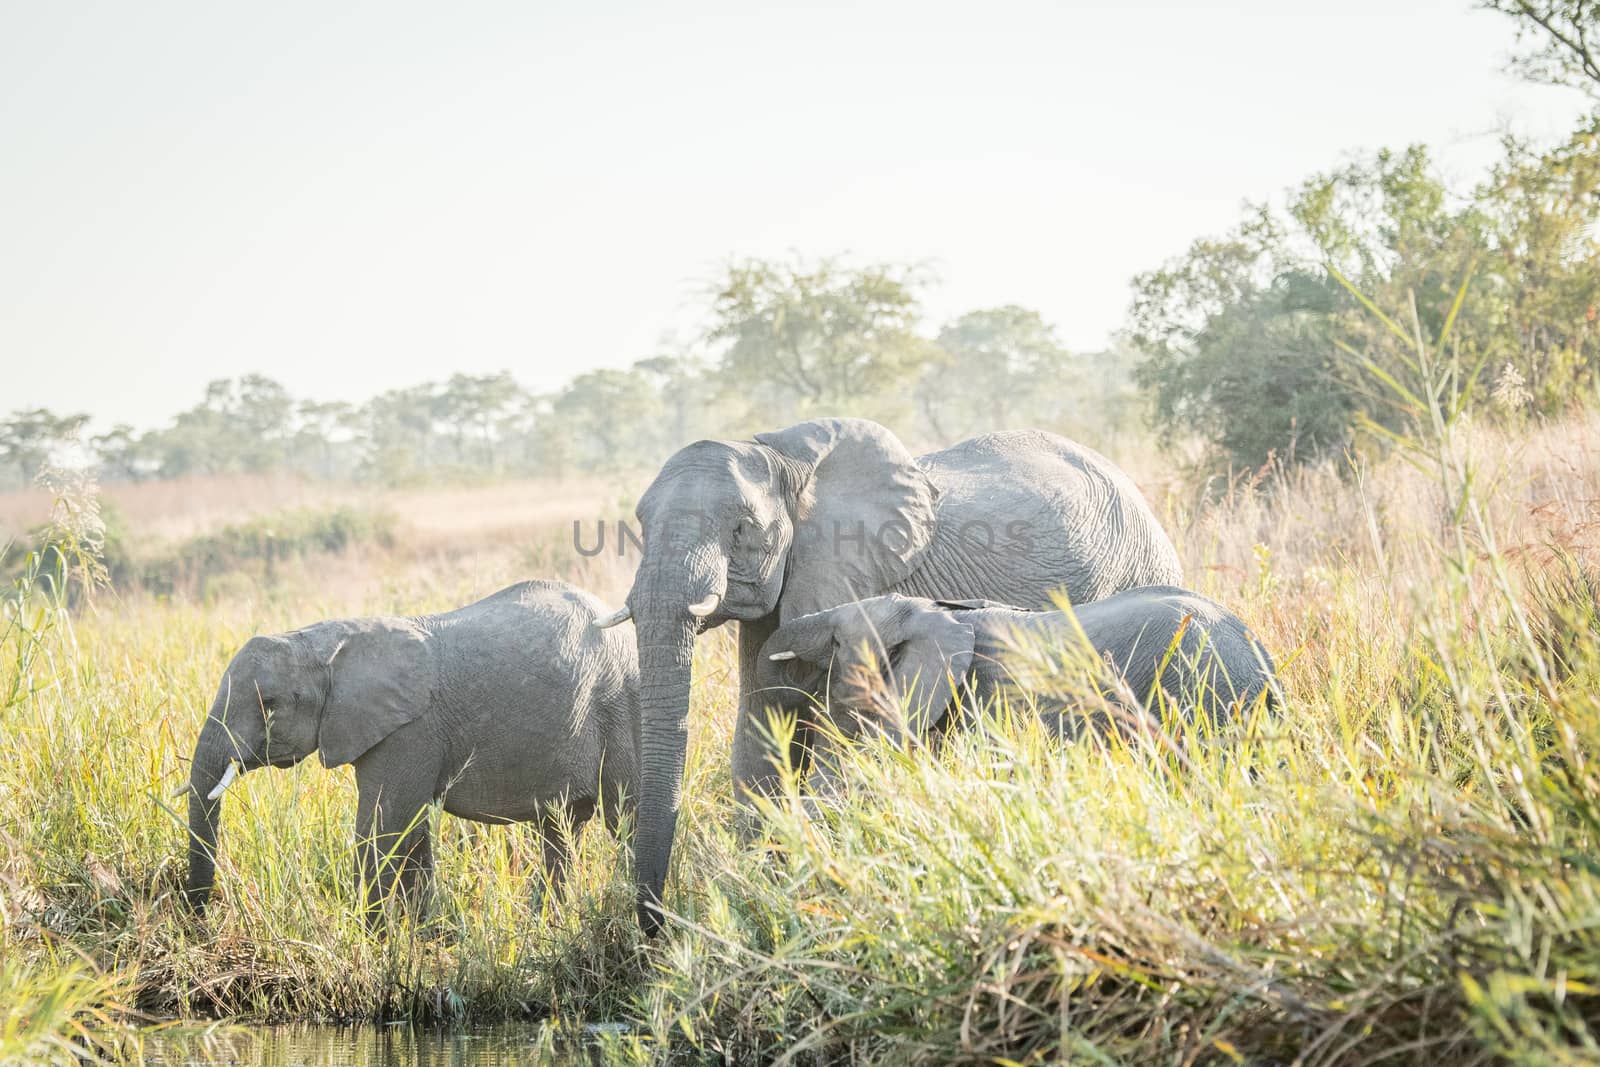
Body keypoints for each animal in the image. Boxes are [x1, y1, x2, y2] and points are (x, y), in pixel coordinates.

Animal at [181, 585, 636, 921]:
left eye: (270, 704)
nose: (199, 917)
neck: (323, 642)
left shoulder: (409, 731)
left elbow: (382, 829)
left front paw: (373, 938)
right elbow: (412, 832)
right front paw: (423, 934)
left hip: (621, 706)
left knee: (625, 819)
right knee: (560, 830)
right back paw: (545, 924)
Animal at [592, 412, 1190, 927]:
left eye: (741, 530)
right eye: (639, 525)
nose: (654, 928)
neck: (783, 459)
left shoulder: (856, 573)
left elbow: (839, 734)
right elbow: (759, 727)